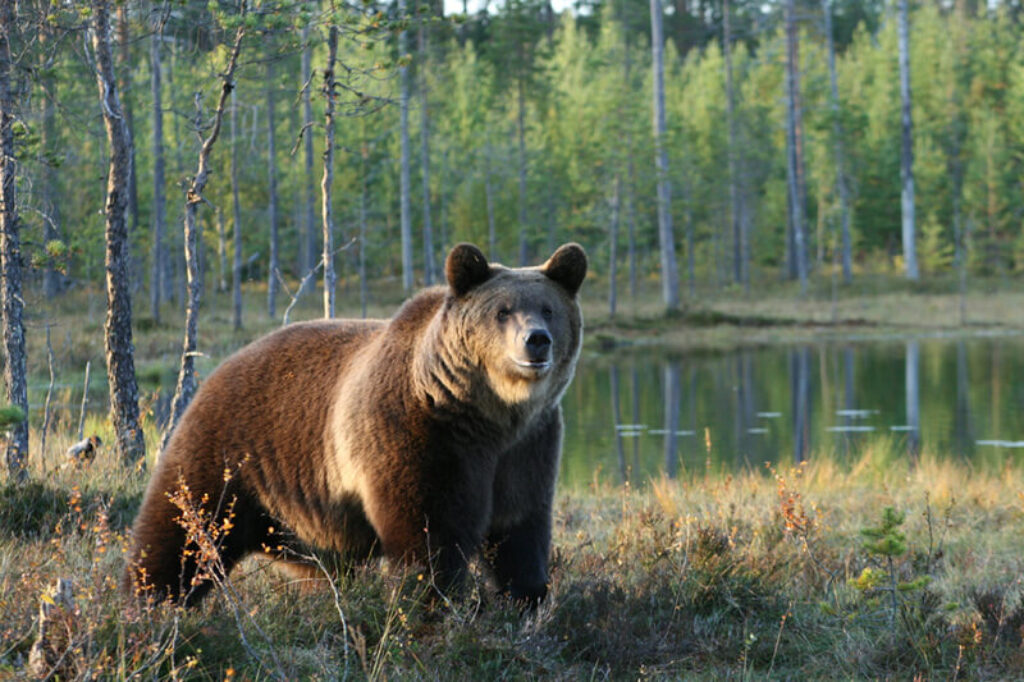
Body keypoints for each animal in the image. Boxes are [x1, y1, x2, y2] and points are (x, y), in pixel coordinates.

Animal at [123, 241, 589, 602]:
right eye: (503, 311)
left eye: (548, 309)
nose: (536, 340)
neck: (487, 414)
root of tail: (220, 367)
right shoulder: (420, 435)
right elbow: (429, 533)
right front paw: (430, 604)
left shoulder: (528, 445)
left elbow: (519, 529)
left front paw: (527, 599)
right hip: (229, 453)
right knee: (182, 529)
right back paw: (149, 602)